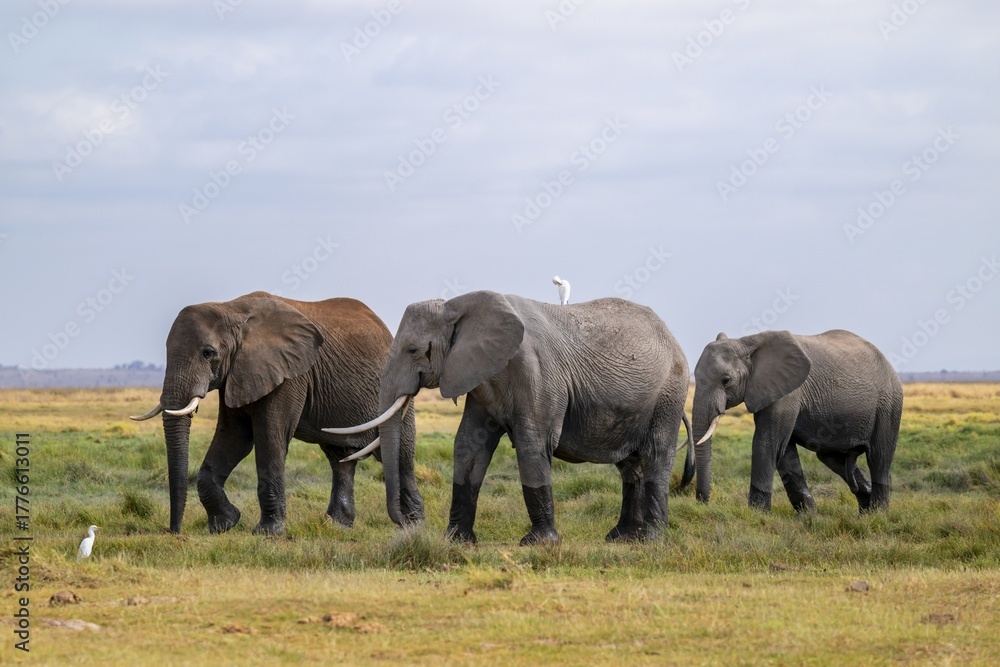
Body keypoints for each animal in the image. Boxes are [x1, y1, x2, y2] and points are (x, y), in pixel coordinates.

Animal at [130, 291, 424, 534]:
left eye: (208, 353)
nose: (174, 532)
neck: (232, 309)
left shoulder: (289, 375)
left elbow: (270, 437)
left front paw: (268, 533)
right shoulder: (238, 374)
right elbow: (235, 438)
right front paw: (224, 524)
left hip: (399, 391)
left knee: (399, 455)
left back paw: (413, 525)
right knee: (341, 460)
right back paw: (338, 526)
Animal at [326, 291, 694, 545]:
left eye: (415, 350)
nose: (408, 521)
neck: (458, 305)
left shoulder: (536, 373)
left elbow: (533, 444)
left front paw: (538, 544)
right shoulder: (479, 376)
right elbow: (468, 446)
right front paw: (457, 541)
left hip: (669, 392)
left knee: (655, 455)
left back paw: (650, 540)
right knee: (630, 465)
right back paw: (621, 538)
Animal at [689, 329, 902, 513]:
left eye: (726, 380)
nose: (703, 503)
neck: (746, 342)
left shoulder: (788, 392)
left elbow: (767, 444)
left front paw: (757, 514)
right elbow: (785, 450)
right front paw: (809, 516)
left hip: (888, 404)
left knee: (879, 457)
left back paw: (878, 515)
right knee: (831, 457)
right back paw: (865, 512)